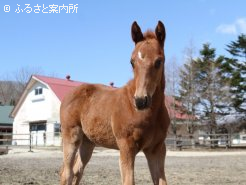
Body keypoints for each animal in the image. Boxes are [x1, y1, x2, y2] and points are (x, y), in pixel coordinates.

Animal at [60, 21, 170, 184]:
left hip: (87, 143)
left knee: (77, 171)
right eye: (132, 62)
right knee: (66, 173)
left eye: (159, 61)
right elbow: (128, 181)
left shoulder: (157, 149)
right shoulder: (126, 148)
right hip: (71, 137)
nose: (141, 101)